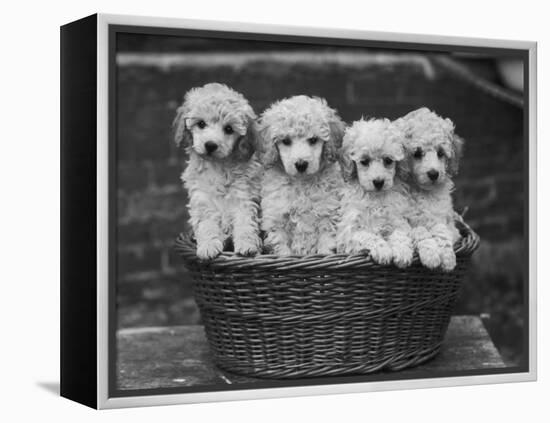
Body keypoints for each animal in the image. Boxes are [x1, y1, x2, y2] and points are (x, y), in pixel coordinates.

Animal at [176, 82, 264, 260]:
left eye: (229, 129)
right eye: (201, 124)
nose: (210, 145)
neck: (218, 166)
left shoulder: (244, 197)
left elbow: (245, 222)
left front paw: (248, 245)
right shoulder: (202, 199)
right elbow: (206, 224)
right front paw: (208, 247)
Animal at [258, 96, 344, 255]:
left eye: (313, 139)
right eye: (286, 141)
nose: (301, 164)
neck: (302, 183)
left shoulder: (327, 213)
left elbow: (326, 242)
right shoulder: (276, 218)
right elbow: (281, 247)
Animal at [336, 117, 414, 266]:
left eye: (388, 160)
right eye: (364, 161)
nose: (378, 182)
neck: (375, 198)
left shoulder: (397, 218)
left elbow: (400, 233)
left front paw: (402, 252)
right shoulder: (350, 231)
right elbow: (368, 236)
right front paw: (383, 250)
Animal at [396, 107, 466, 270]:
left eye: (441, 153)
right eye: (417, 153)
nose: (434, 174)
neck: (423, 192)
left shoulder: (446, 221)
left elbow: (441, 230)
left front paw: (447, 258)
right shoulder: (405, 221)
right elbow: (420, 230)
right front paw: (431, 255)